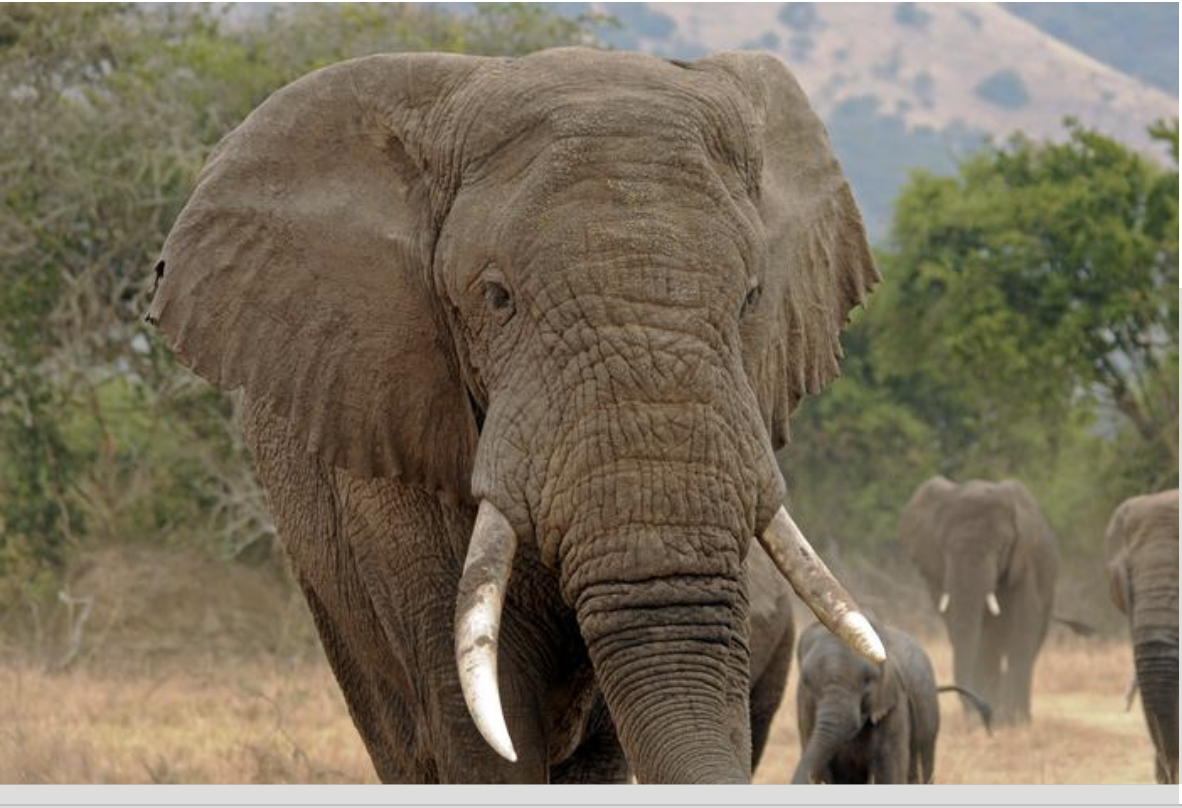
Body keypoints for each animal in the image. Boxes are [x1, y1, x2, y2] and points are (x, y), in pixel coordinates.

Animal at [792, 620, 991, 784]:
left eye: (869, 680)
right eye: (806, 681)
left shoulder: (894, 703)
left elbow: (888, 773)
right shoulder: (805, 710)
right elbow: (822, 772)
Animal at [900, 476, 1057, 725]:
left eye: (1001, 548)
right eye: (944, 549)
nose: (979, 714)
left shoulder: (1024, 564)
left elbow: (1023, 627)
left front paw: (1014, 723)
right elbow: (970, 635)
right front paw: (986, 722)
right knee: (989, 647)